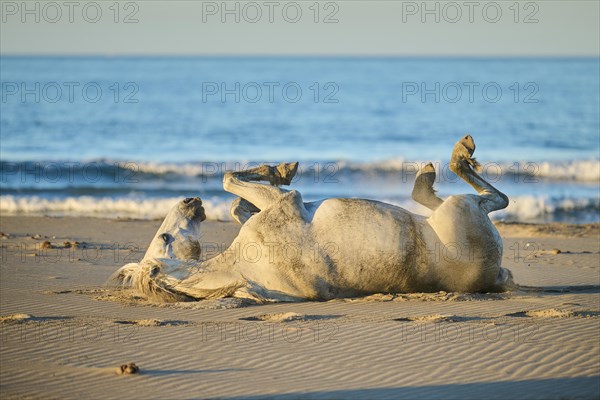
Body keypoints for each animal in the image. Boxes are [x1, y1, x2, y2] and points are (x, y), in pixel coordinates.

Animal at [113, 136, 516, 302]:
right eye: (164, 239)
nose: (192, 202)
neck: (243, 266)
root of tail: (495, 273)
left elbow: (234, 201)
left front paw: (265, 181)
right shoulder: (287, 203)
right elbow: (230, 180)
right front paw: (281, 169)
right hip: (461, 208)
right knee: (489, 195)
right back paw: (452, 157)